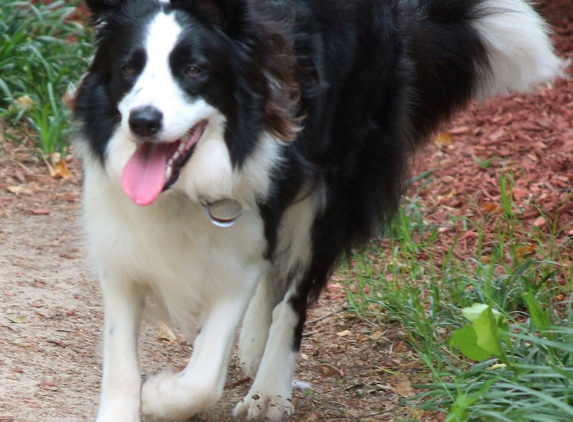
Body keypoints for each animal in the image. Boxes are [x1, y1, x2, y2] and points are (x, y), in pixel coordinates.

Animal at [73, 0, 560, 418]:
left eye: (194, 70)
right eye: (128, 68)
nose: (143, 121)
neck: (183, 189)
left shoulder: (244, 243)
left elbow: (202, 379)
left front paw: (158, 395)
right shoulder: (121, 252)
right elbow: (120, 362)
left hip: (336, 184)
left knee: (294, 294)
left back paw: (269, 390)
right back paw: (254, 344)